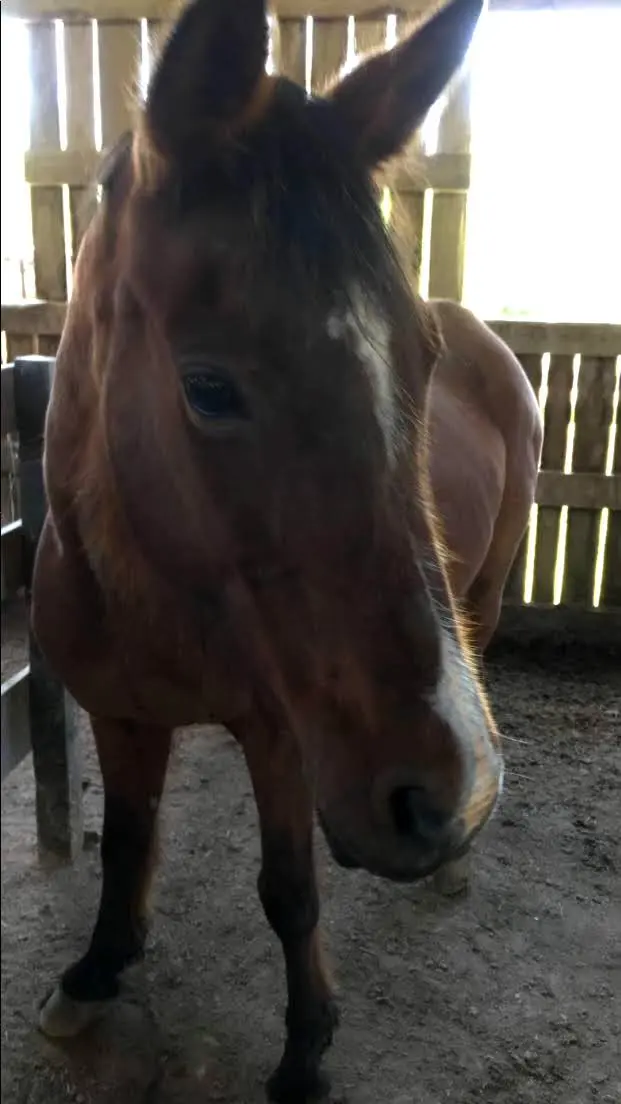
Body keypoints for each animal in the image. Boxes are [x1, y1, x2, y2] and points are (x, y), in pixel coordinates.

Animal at [31, 0, 542, 1099]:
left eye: (422, 362)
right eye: (208, 385)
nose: (450, 790)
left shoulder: (280, 737)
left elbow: (289, 891)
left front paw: (306, 1047)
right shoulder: (118, 713)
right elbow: (124, 845)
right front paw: (96, 971)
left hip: (483, 596)